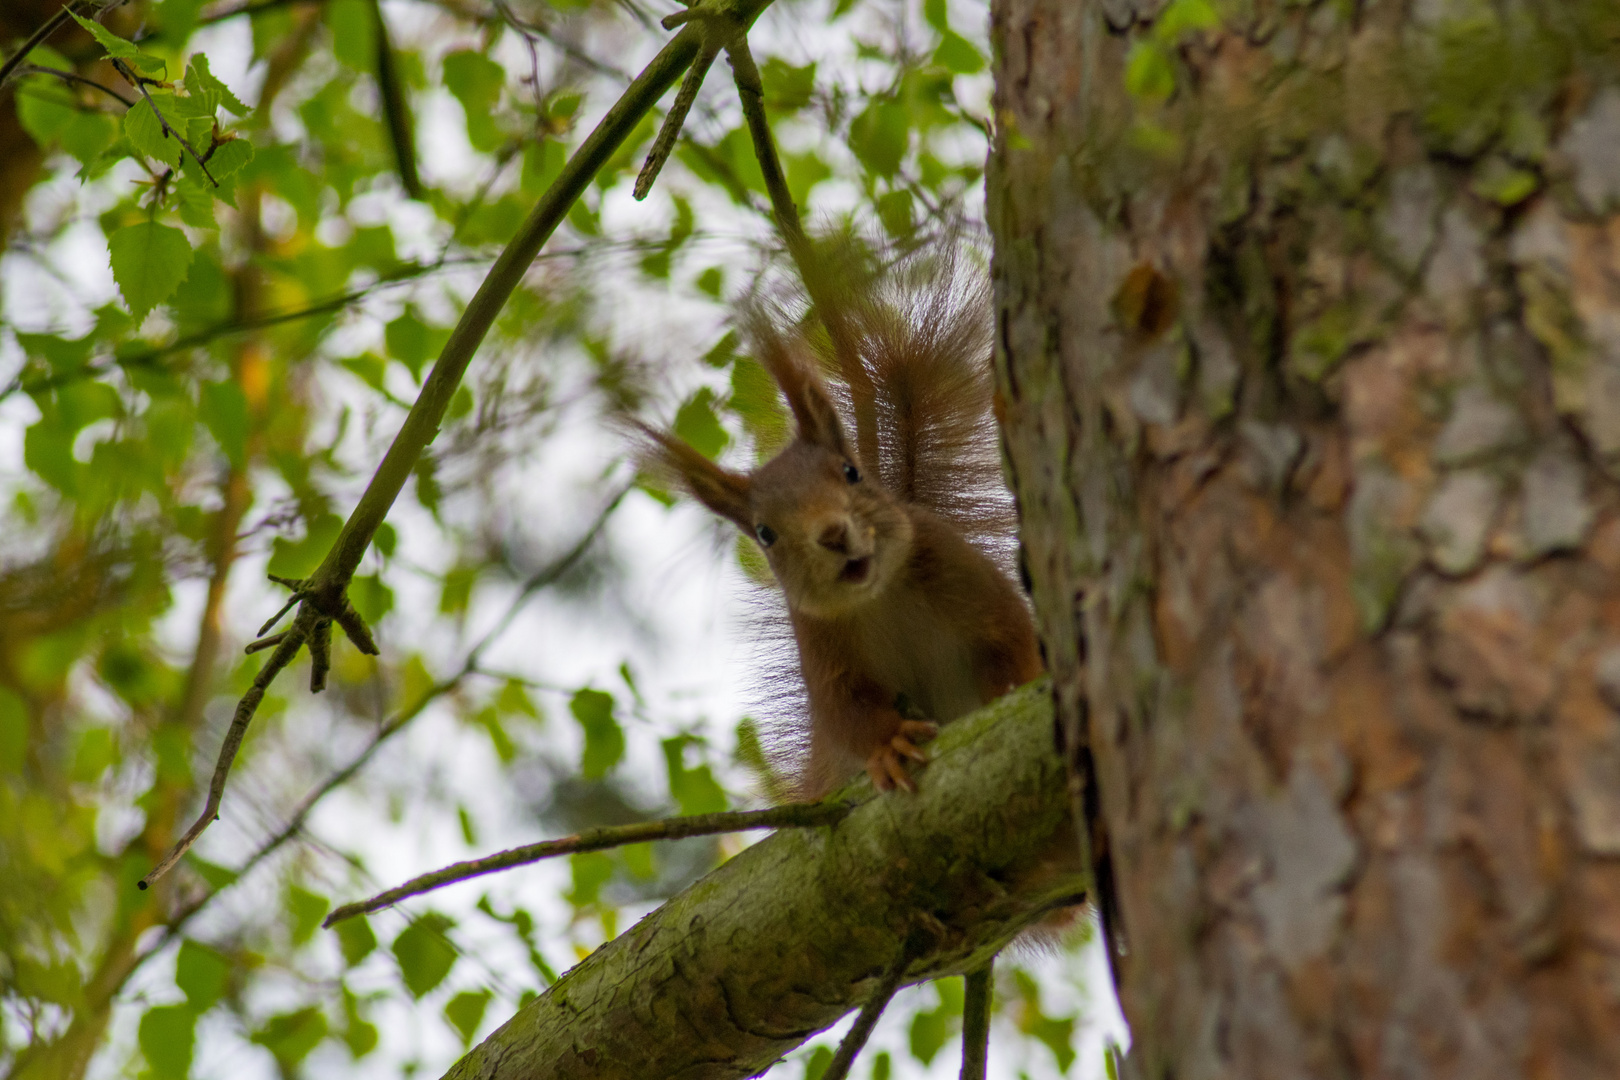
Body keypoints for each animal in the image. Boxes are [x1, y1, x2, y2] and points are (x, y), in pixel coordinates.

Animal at [641, 247, 1036, 803]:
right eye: (764, 534)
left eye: (851, 472)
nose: (831, 533)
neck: (879, 598)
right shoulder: (821, 647)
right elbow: (846, 714)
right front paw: (889, 745)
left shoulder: (965, 576)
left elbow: (1015, 638)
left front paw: (1012, 685)